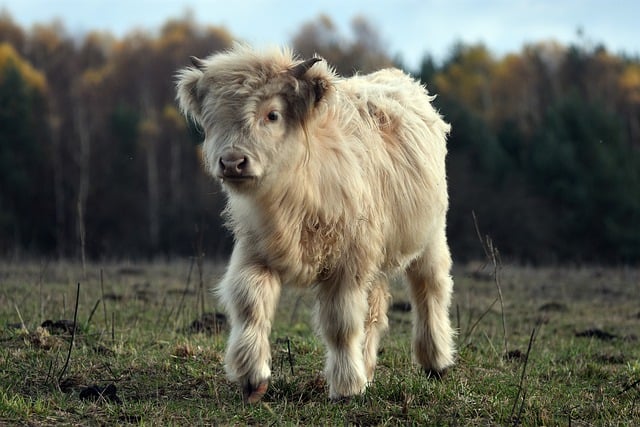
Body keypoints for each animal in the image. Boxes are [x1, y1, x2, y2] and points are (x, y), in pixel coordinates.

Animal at [175, 46, 456, 404]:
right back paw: (368, 368)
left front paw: (347, 386)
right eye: (213, 118)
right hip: (377, 254)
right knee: (376, 309)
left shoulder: (347, 264)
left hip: (430, 236)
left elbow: (341, 323)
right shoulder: (255, 251)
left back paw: (436, 361)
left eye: (272, 115)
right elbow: (250, 303)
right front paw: (253, 377)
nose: (232, 162)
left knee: (430, 289)